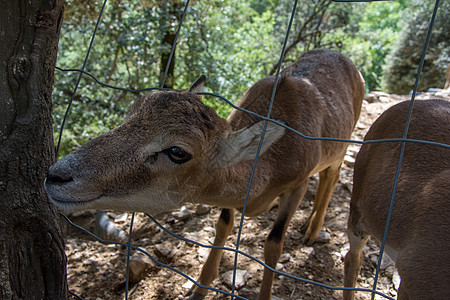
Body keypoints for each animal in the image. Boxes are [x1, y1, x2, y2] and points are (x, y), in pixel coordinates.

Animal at [44, 49, 366, 300]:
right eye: (131, 113)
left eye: (178, 151)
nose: (56, 176)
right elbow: (223, 225)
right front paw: (198, 287)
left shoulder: (298, 183)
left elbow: (273, 244)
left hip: (342, 145)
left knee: (332, 175)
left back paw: (312, 231)